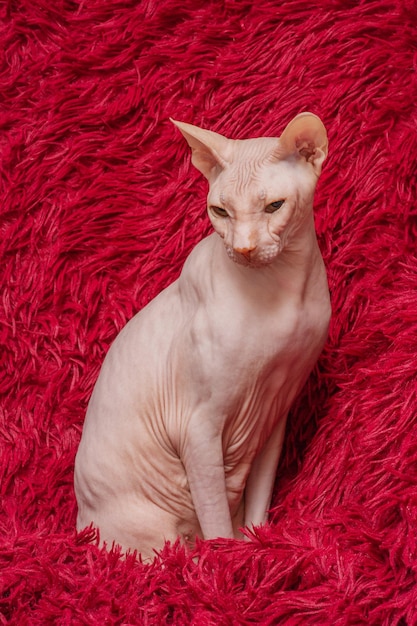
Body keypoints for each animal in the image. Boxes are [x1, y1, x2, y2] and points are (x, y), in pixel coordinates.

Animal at [73, 109, 330, 560]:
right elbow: (215, 519)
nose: (243, 250)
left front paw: (256, 542)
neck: (284, 292)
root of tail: (79, 526)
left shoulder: (274, 416)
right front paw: (226, 560)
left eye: (274, 206)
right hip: (151, 530)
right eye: (220, 212)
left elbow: (258, 500)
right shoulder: (197, 426)